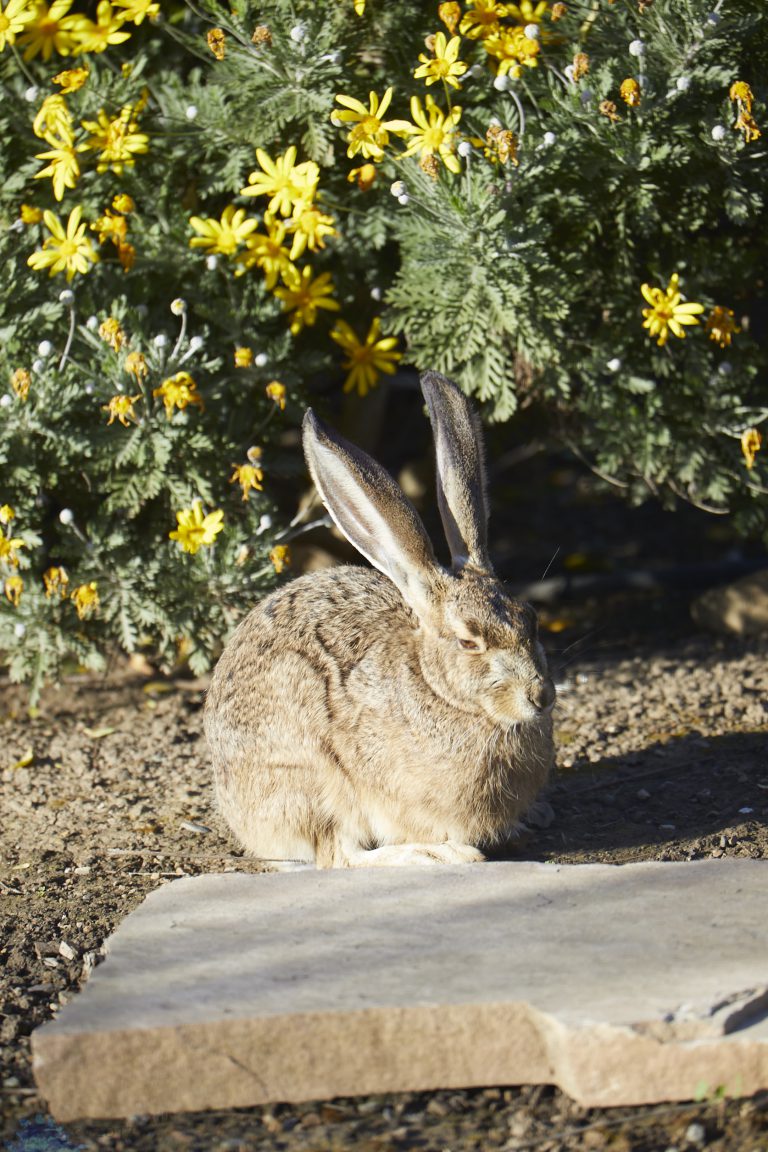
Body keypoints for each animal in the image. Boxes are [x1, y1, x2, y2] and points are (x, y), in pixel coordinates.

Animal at [204, 369, 555, 868]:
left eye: (531, 620)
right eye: (468, 641)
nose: (540, 696)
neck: (437, 689)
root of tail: (237, 812)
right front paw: (457, 849)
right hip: (314, 775)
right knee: (339, 855)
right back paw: (442, 854)